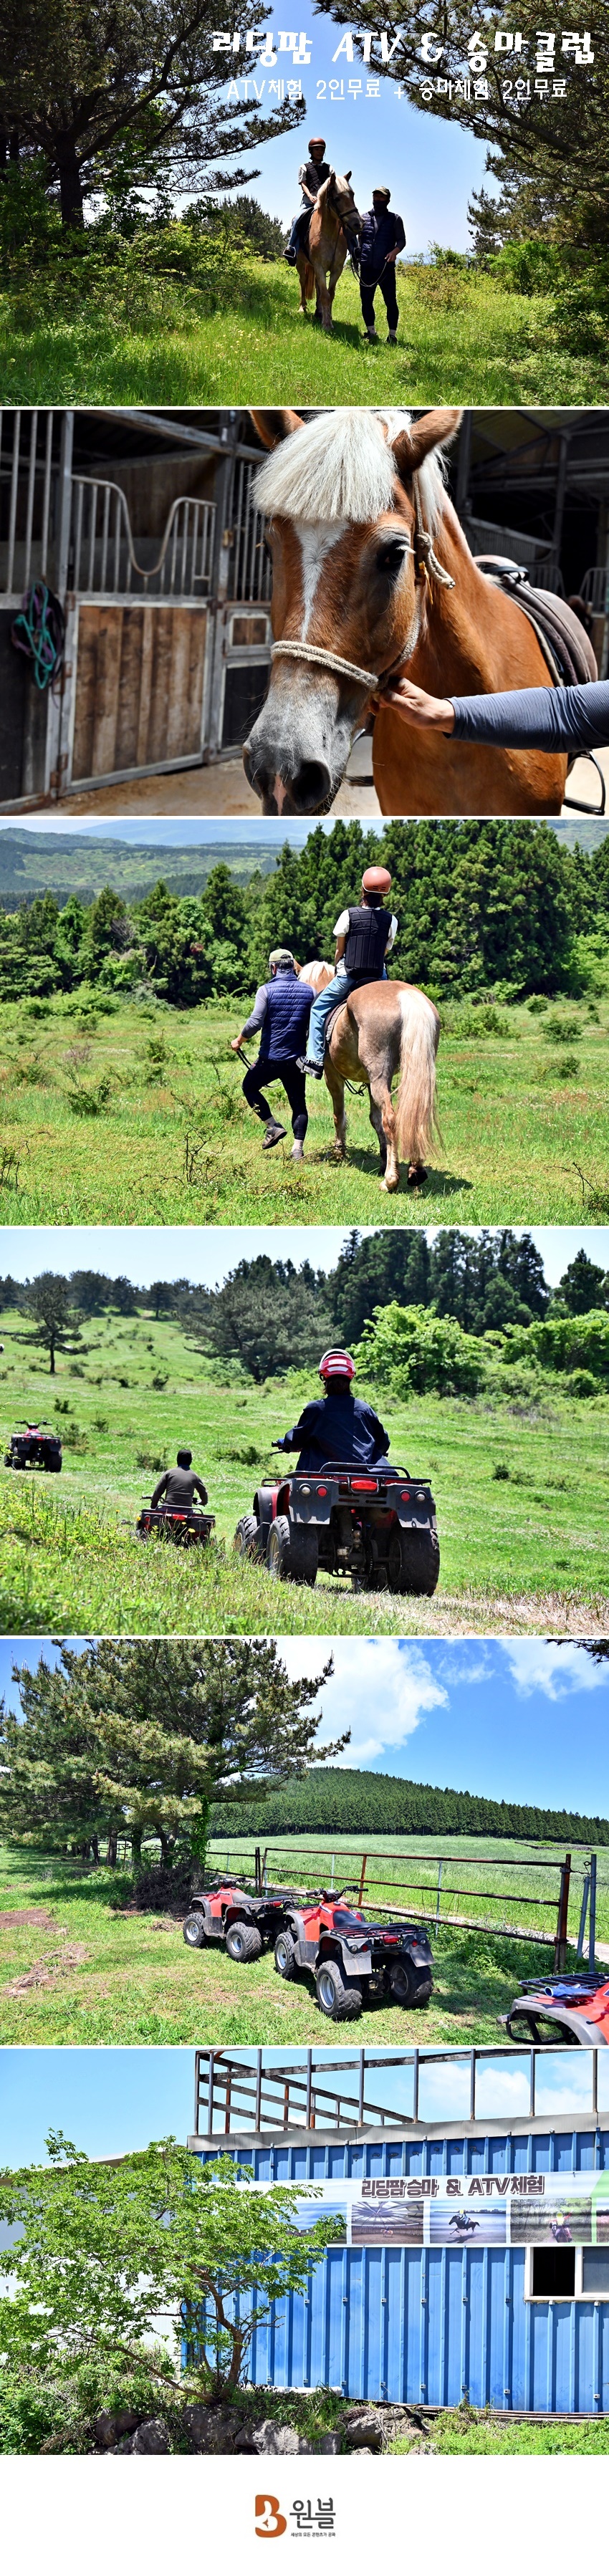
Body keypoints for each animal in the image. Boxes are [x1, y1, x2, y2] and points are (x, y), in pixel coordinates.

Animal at [297, 170, 363, 330]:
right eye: (337, 199)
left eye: (352, 195)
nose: (358, 224)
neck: (329, 234)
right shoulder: (319, 267)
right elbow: (325, 295)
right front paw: (326, 325)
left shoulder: (336, 269)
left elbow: (330, 294)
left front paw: (327, 318)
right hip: (301, 264)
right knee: (303, 282)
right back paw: (303, 307)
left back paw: (319, 311)